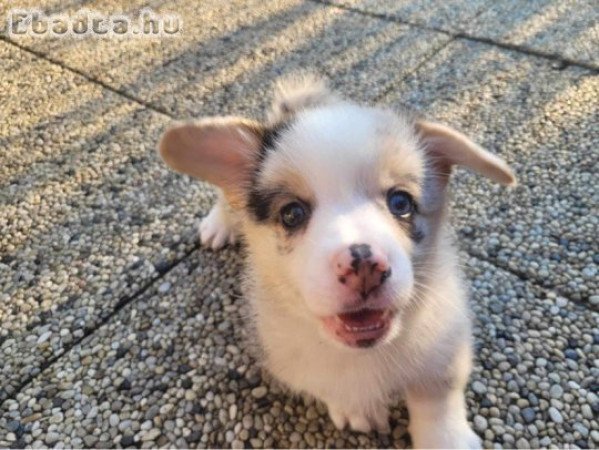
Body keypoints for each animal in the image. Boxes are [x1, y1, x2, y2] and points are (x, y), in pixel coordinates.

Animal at [159, 75, 516, 448]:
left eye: (401, 202)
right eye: (292, 213)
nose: (365, 268)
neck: (367, 354)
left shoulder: (445, 341)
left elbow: (437, 395)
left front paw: (446, 437)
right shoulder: (289, 357)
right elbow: (331, 385)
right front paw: (356, 408)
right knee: (225, 197)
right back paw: (218, 224)